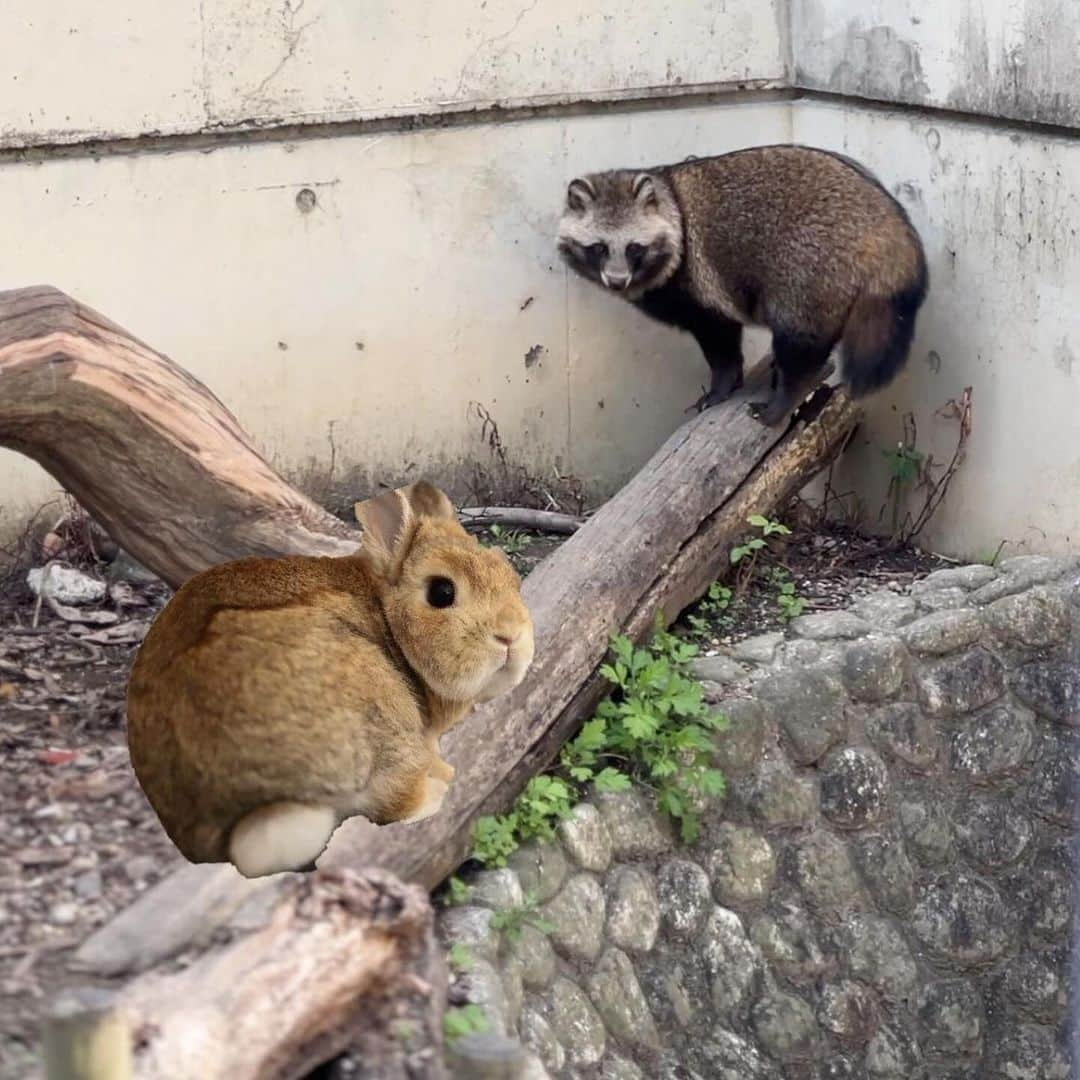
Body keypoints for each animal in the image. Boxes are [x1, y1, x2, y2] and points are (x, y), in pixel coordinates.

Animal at [128, 481, 533, 876]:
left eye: (505, 569)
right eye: (441, 592)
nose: (511, 636)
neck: (386, 613)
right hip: (377, 710)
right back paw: (438, 790)